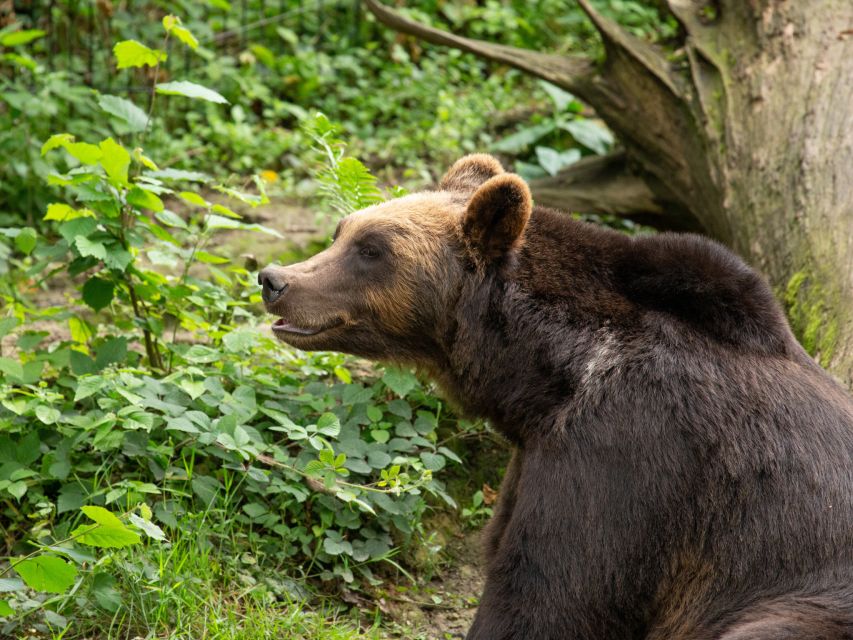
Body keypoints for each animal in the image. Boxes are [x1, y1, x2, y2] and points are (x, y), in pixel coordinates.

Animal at [258, 154, 853, 640]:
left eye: (372, 249)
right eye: (342, 232)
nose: (274, 278)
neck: (549, 374)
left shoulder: (629, 455)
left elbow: (550, 590)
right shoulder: (538, 455)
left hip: (802, 597)